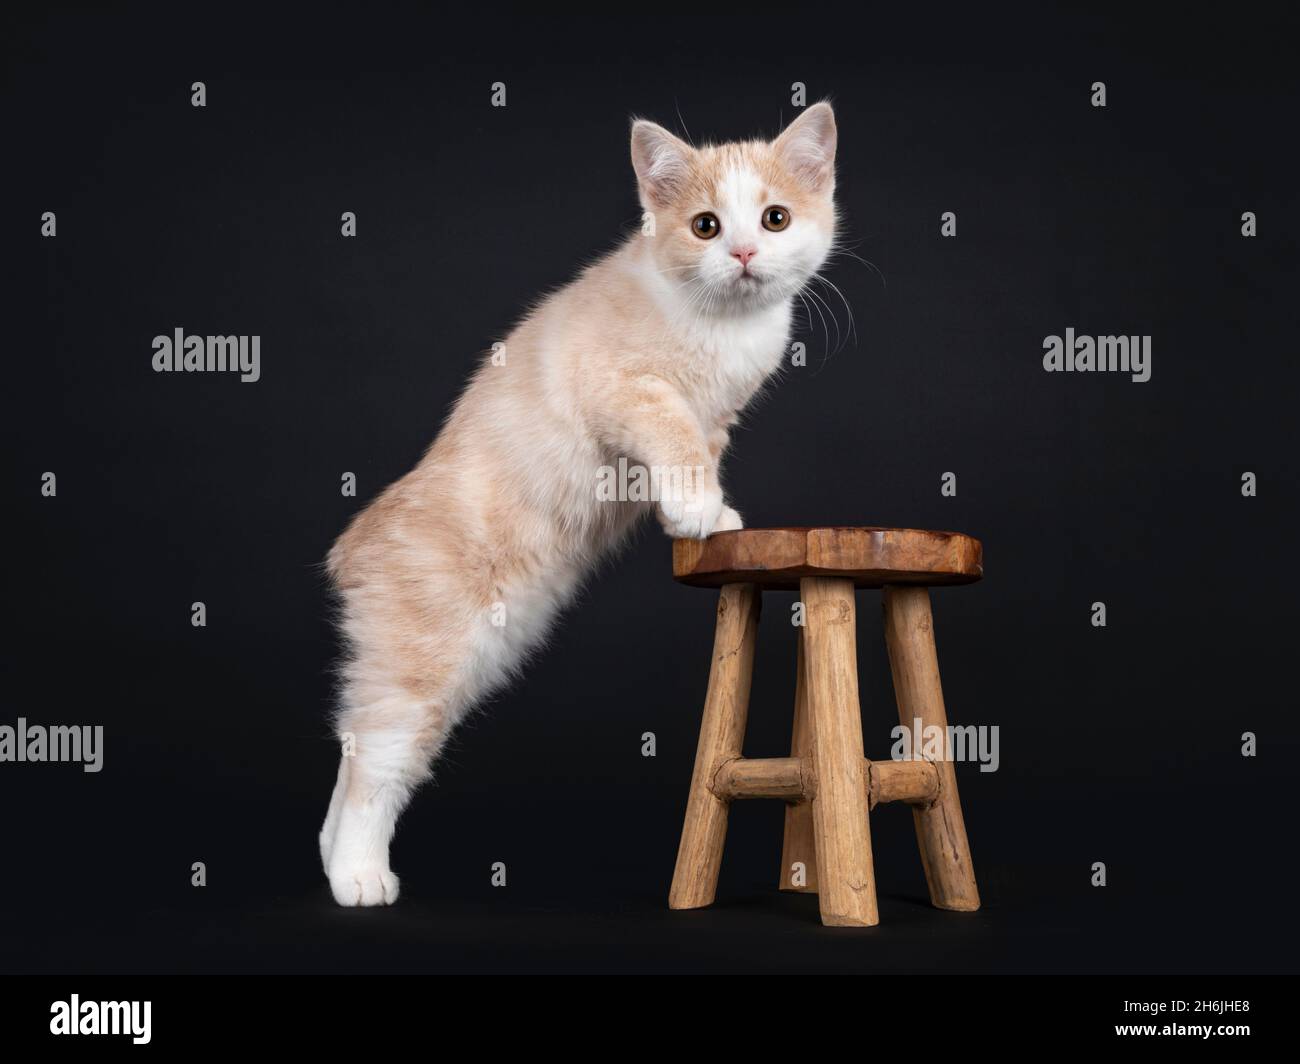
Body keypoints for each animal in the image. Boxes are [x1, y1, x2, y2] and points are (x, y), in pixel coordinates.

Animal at [319, 101, 837, 905]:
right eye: (706, 226)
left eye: (775, 218)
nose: (747, 252)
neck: (721, 326)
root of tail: (357, 545)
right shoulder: (627, 391)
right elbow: (674, 438)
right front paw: (698, 508)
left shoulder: (717, 418)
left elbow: (698, 450)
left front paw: (698, 516)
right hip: (424, 659)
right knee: (378, 760)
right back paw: (357, 875)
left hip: (486, 651)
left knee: (353, 754)